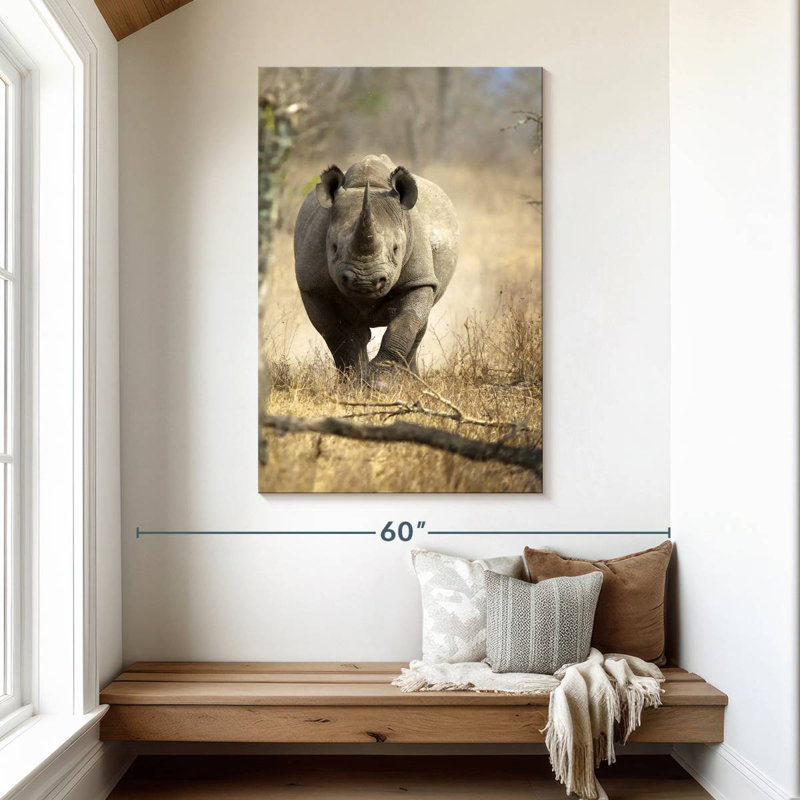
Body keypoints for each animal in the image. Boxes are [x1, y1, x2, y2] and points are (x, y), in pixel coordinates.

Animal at [293, 154, 458, 388]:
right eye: (333, 248)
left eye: (396, 249)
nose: (365, 282)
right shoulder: (313, 288)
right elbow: (337, 333)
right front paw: (354, 384)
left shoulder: (419, 280)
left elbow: (405, 323)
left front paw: (380, 382)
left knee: (419, 324)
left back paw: (412, 382)